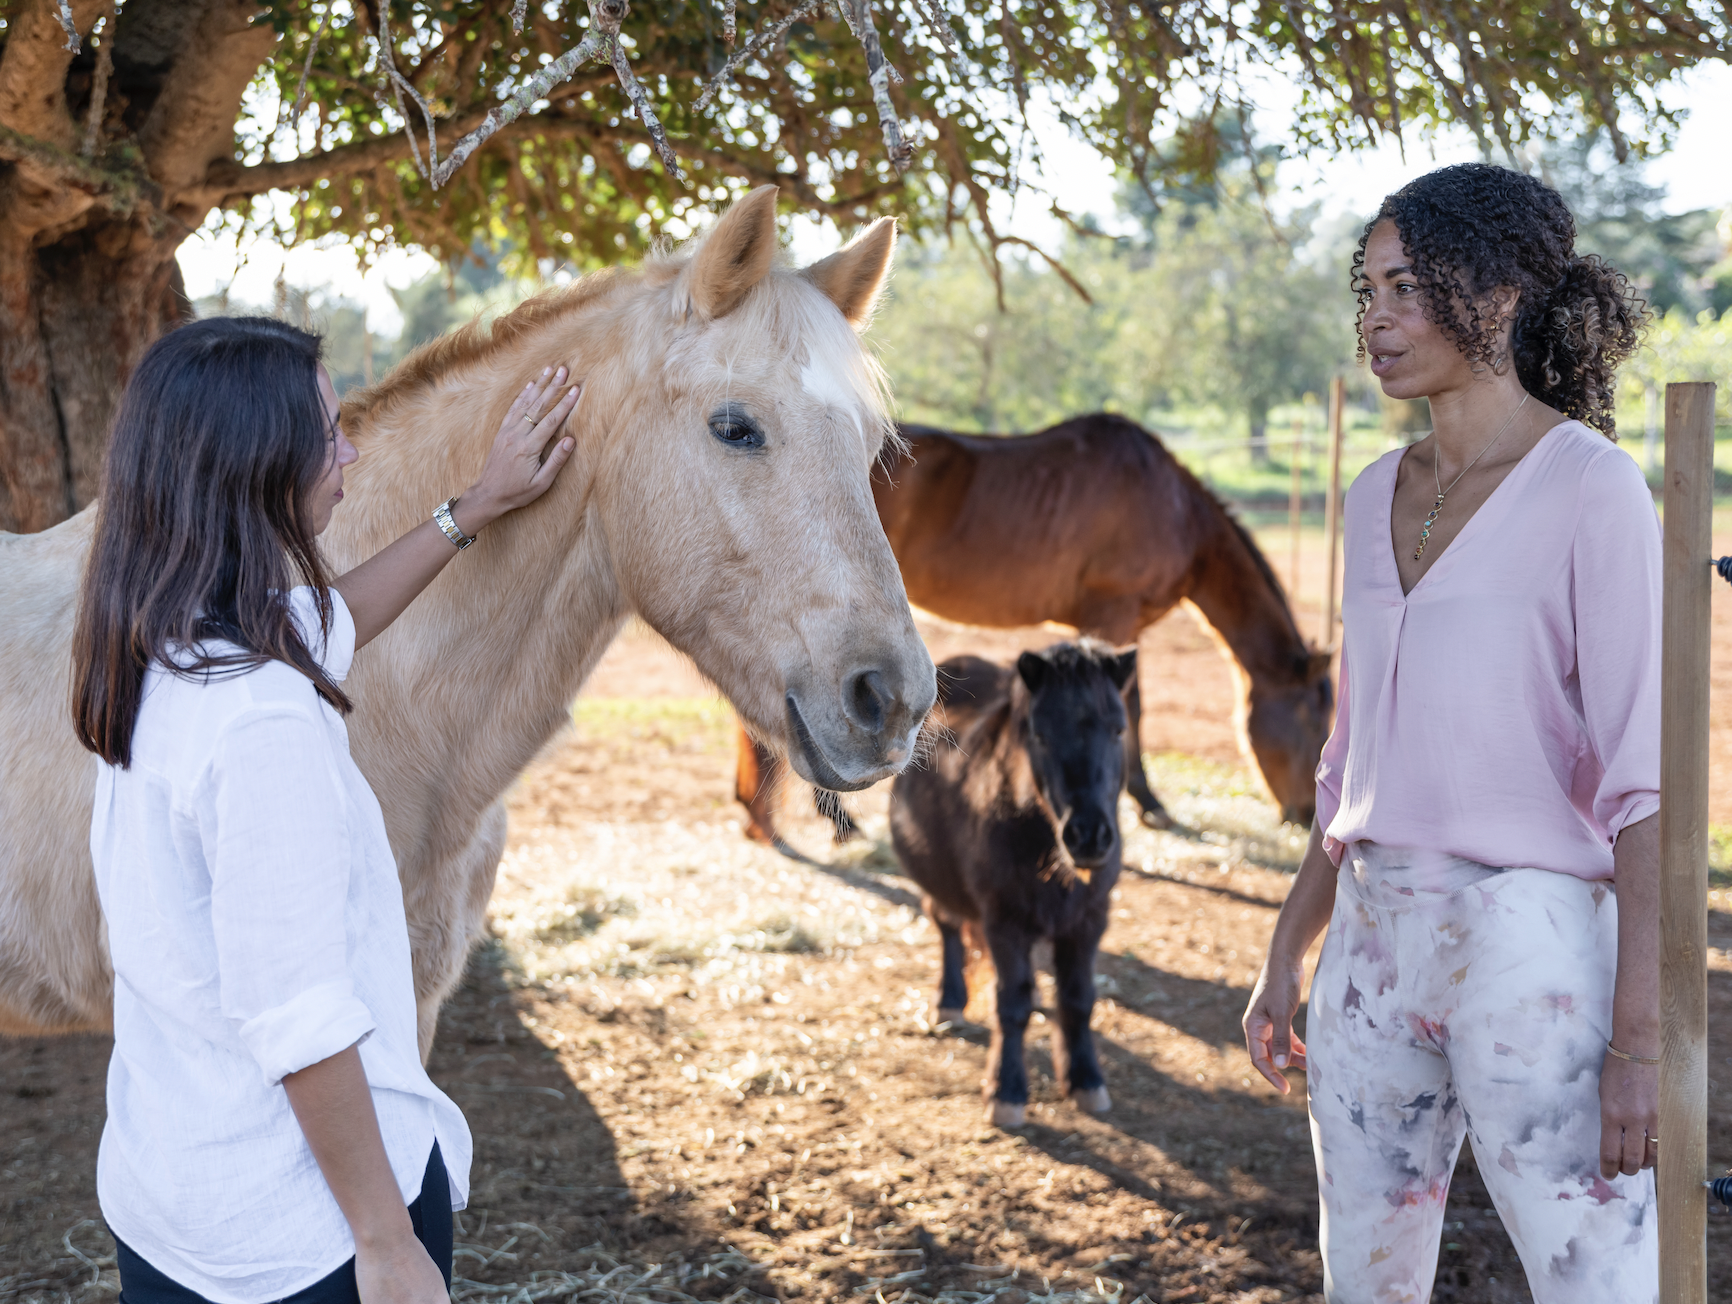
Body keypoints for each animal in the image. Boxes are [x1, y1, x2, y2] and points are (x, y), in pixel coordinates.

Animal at [735, 413, 1335, 845]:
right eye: (1314, 718)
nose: (1307, 814)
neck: (1175, 507)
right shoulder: (1112, 617)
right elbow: (1133, 706)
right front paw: (1148, 803)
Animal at [890, 641, 1135, 1128]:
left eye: (1118, 730)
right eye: (1040, 735)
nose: (1089, 835)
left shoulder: (1088, 920)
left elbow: (1078, 999)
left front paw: (1086, 1081)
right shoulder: (1005, 922)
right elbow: (1012, 1006)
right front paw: (1006, 1092)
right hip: (940, 881)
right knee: (946, 925)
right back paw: (950, 1001)